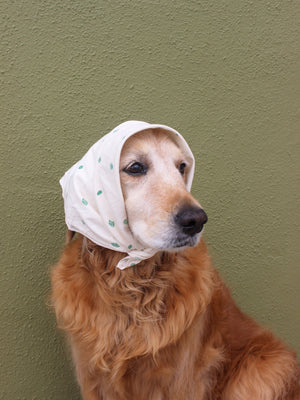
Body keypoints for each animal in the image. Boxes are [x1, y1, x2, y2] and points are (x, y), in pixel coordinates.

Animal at [50, 129, 298, 400]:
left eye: (182, 167)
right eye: (135, 167)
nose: (197, 220)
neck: (132, 281)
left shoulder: (180, 379)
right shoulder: (92, 377)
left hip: (263, 369)